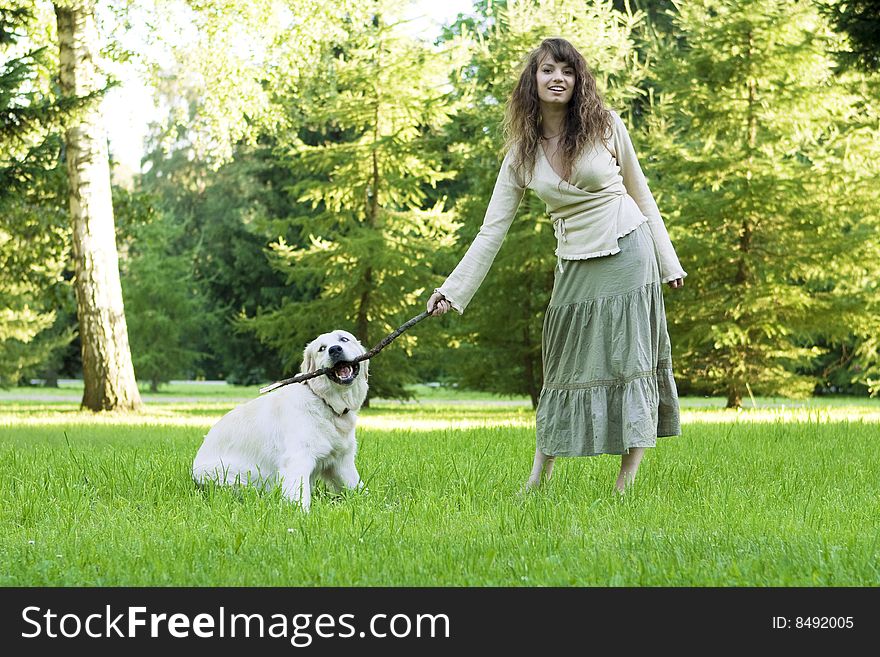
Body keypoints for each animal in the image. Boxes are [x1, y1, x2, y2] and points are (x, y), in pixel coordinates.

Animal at [192, 330, 368, 510]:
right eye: (322, 348)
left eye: (344, 339)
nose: (334, 350)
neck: (324, 401)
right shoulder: (297, 459)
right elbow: (299, 496)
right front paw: (302, 514)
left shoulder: (342, 462)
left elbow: (358, 488)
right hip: (228, 474)